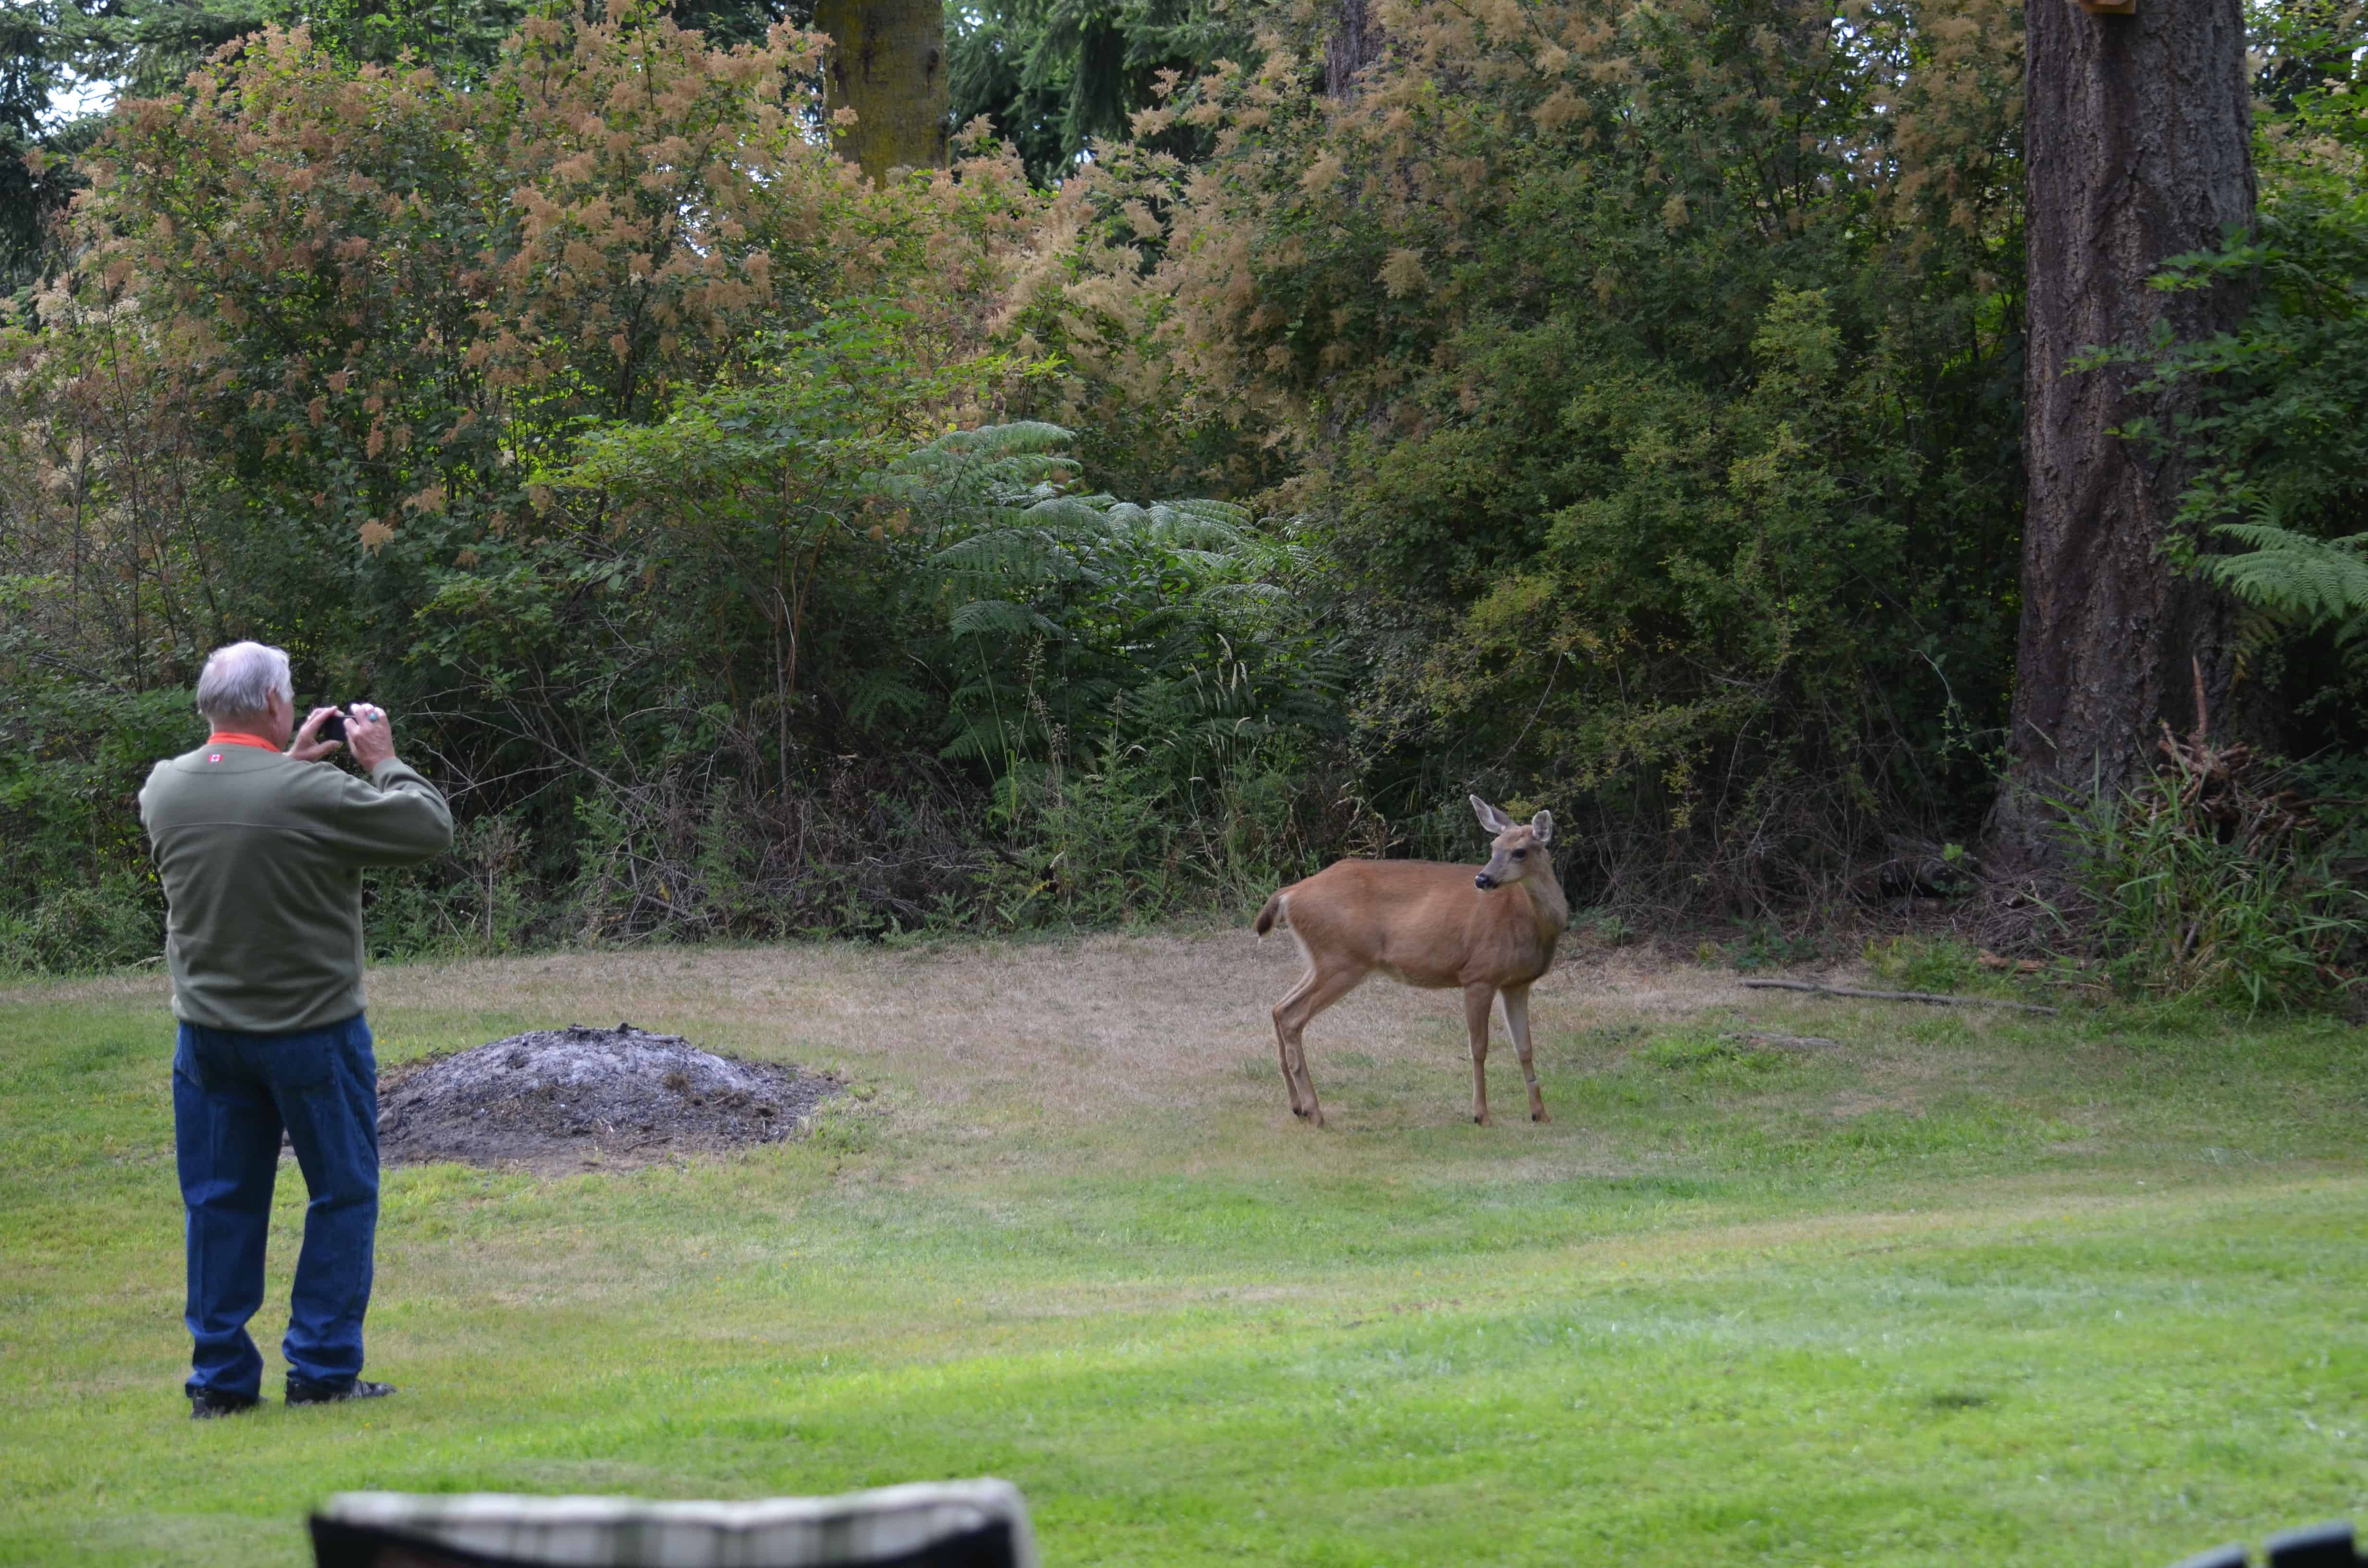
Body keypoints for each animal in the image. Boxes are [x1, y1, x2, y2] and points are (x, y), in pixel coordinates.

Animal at [1253, 796, 1568, 1128]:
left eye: (1520, 851)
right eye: (1493, 846)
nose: (1482, 879)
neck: (1530, 920)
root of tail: (1290, 894)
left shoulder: (1518, 983)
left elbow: (1525, 1047)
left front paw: (1540, 1113)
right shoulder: (1478, 974)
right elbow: (1479, 1048)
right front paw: (1481, 1115)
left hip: (1321, 960)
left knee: (1278, 1007)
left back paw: (1297, 1106)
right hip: (1342, 959)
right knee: (1291, 1015)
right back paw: (1315, 1111)